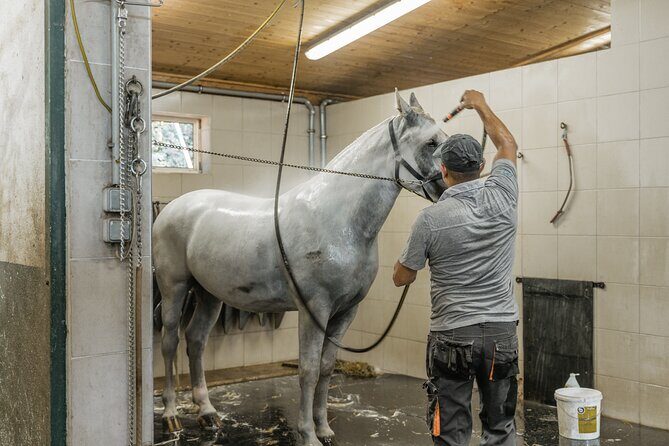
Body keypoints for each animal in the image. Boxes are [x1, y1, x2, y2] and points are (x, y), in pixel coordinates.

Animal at [153, 91, 448, 446]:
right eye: (431, 142)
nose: (447, 189)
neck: (337, 220)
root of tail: (172, 207)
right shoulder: (314, 309)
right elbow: (307, 370)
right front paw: (307, 434)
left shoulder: (345, 312)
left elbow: (326, 368)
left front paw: (325, 429)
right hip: (174, 288)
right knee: (170, 342)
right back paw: (170, 415)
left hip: (209, 295)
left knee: (196, 341)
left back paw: (207, 413)